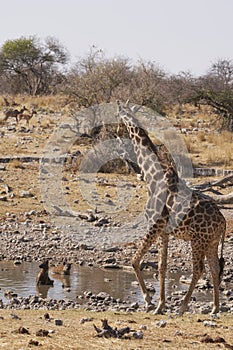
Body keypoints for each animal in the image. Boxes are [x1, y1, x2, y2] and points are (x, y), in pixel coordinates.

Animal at [116, 100, 226, 314]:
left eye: (119, 114)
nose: (116, 130)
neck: (150, 176)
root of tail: (224, 221)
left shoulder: (154, 224)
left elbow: (135, 260)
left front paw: (149, 300)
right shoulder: (164, 231)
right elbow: (162, 266)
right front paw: (160, 304)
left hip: (198, 240)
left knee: (199, 269)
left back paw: (183, 306)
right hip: (212, 241)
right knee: (215, 267)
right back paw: (215, 307)